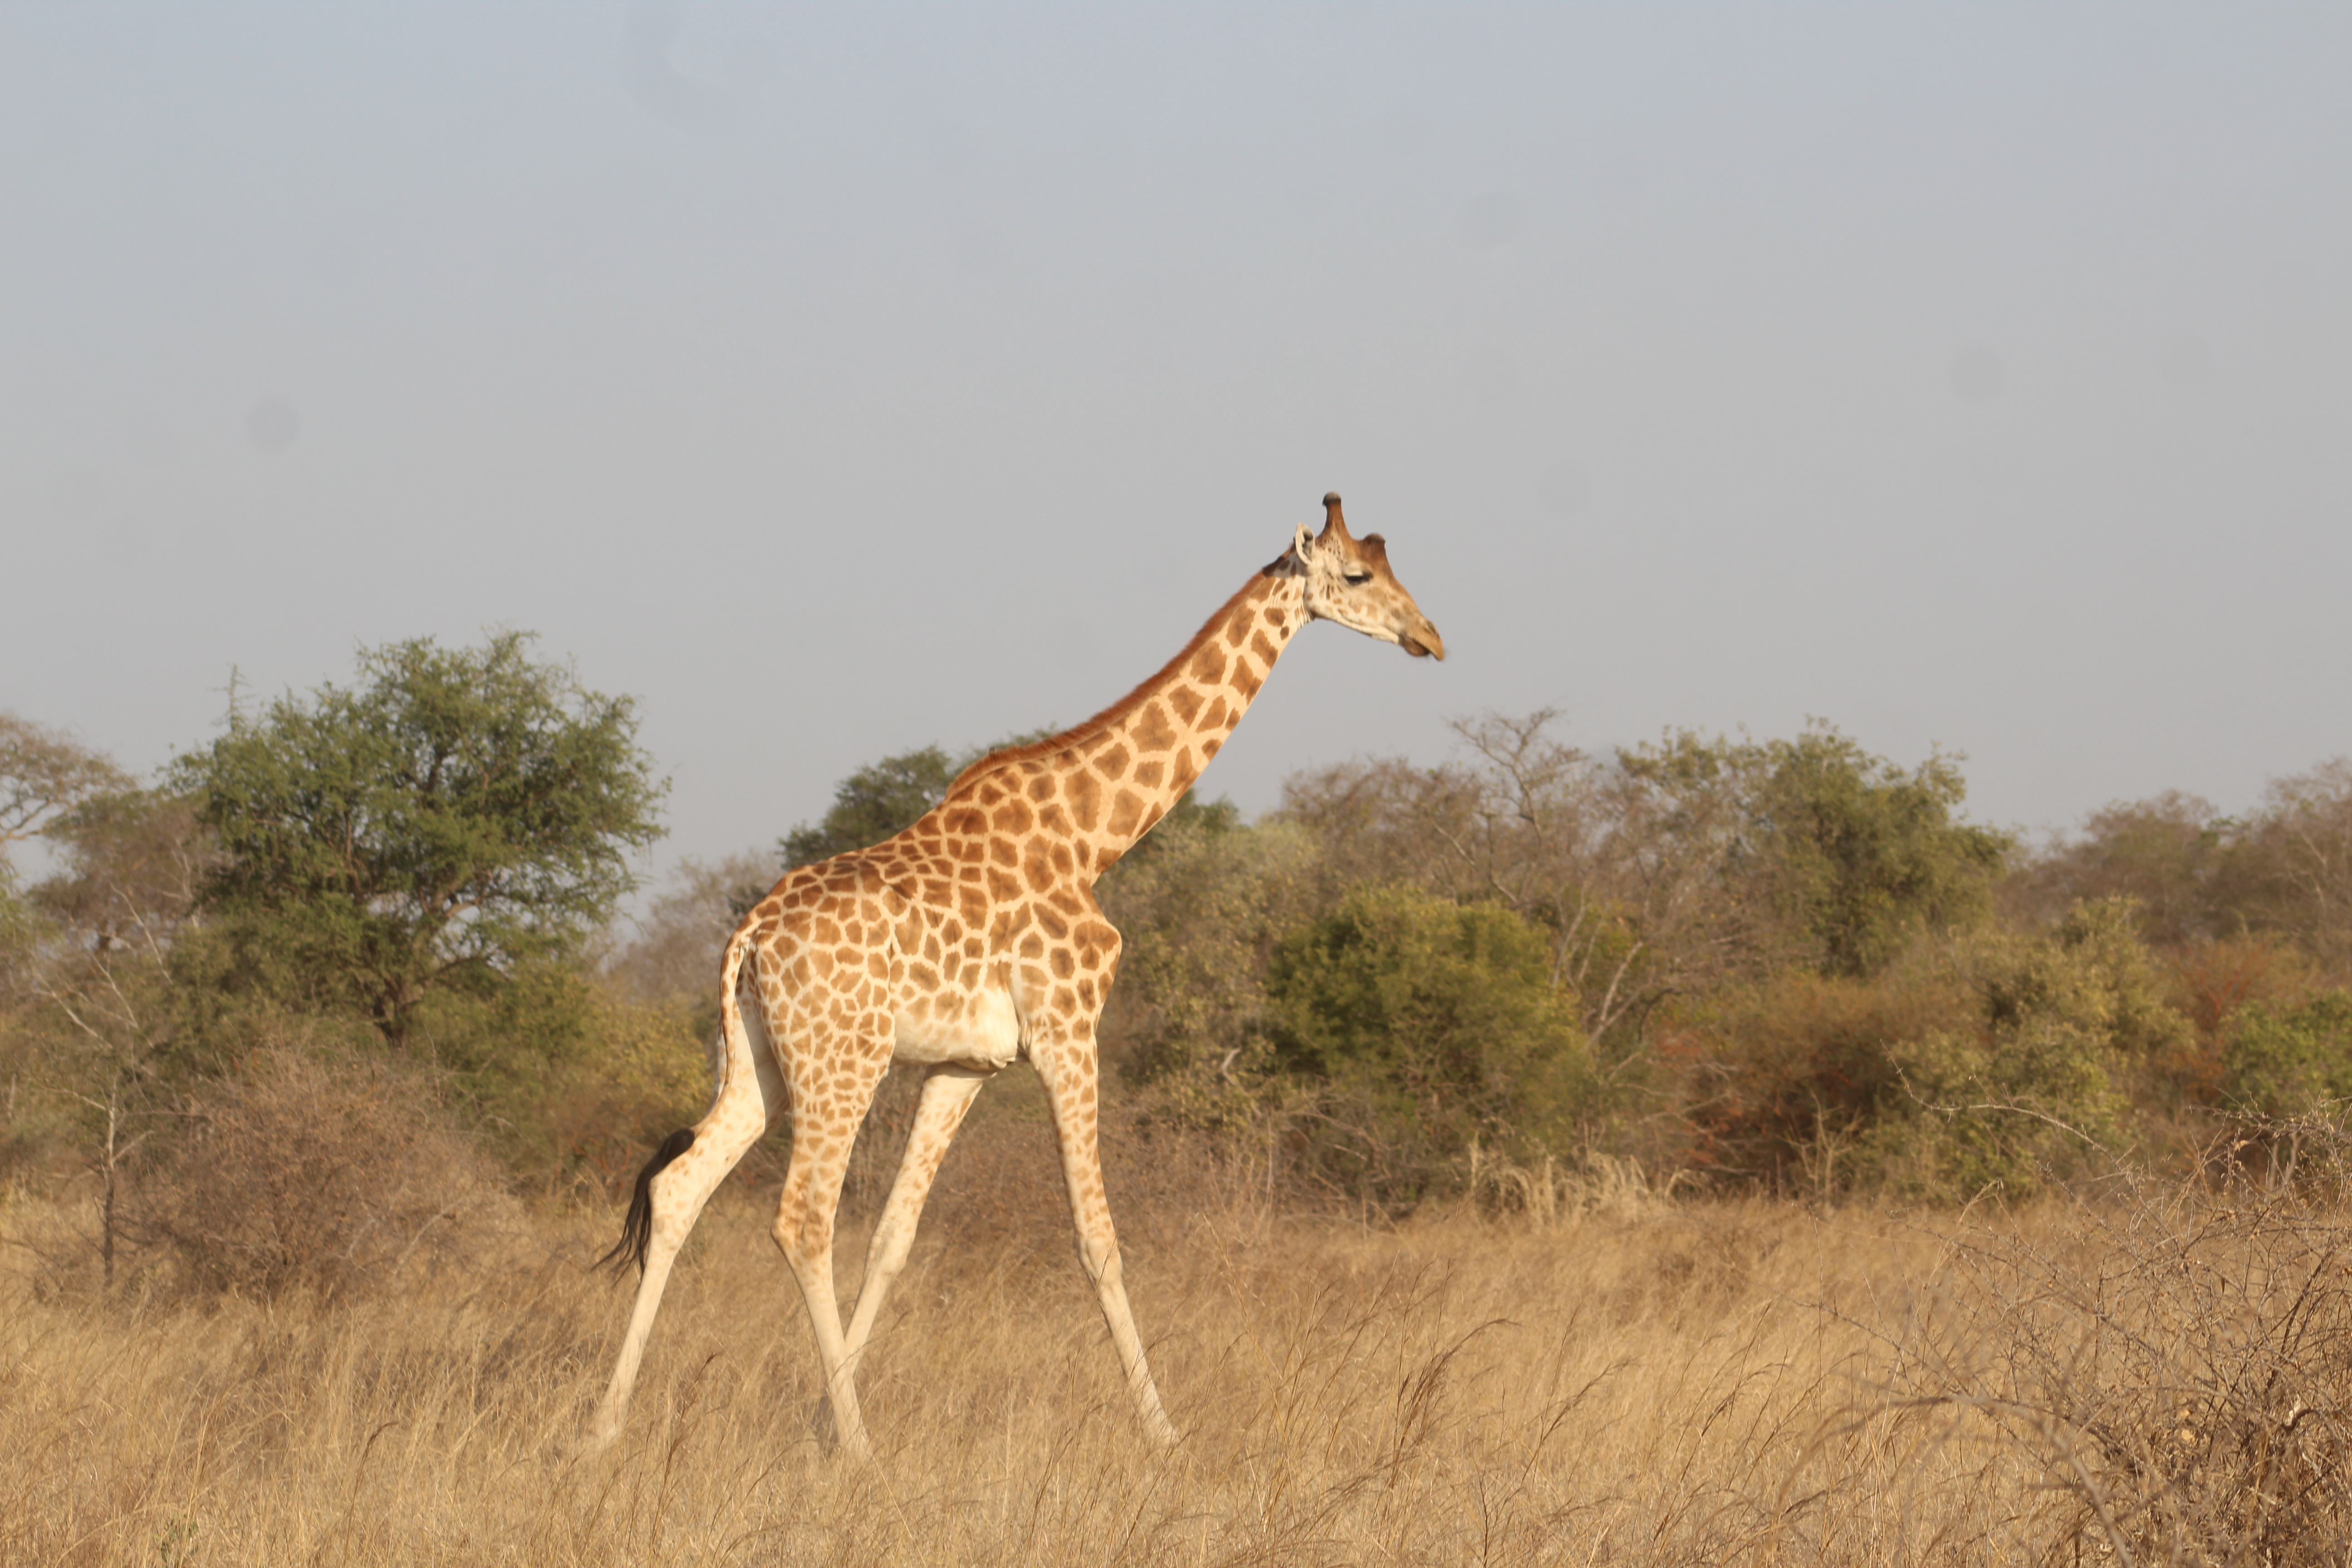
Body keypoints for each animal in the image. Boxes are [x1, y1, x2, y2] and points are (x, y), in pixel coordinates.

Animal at [585, 493, 1444, 1461]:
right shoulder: (1070, 1029)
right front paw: (1164, 1433)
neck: (1094, 833)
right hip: (844, 1061)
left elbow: (895, 1238)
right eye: (1358, 575)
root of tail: (749, 938)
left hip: (761, 1060)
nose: (1428, 636)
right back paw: (863, 1447)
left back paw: (604, 1427)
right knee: (801, 1217)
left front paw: (815, 1416)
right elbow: (1096, 1238)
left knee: (679, 1188)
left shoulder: (965, 1065)